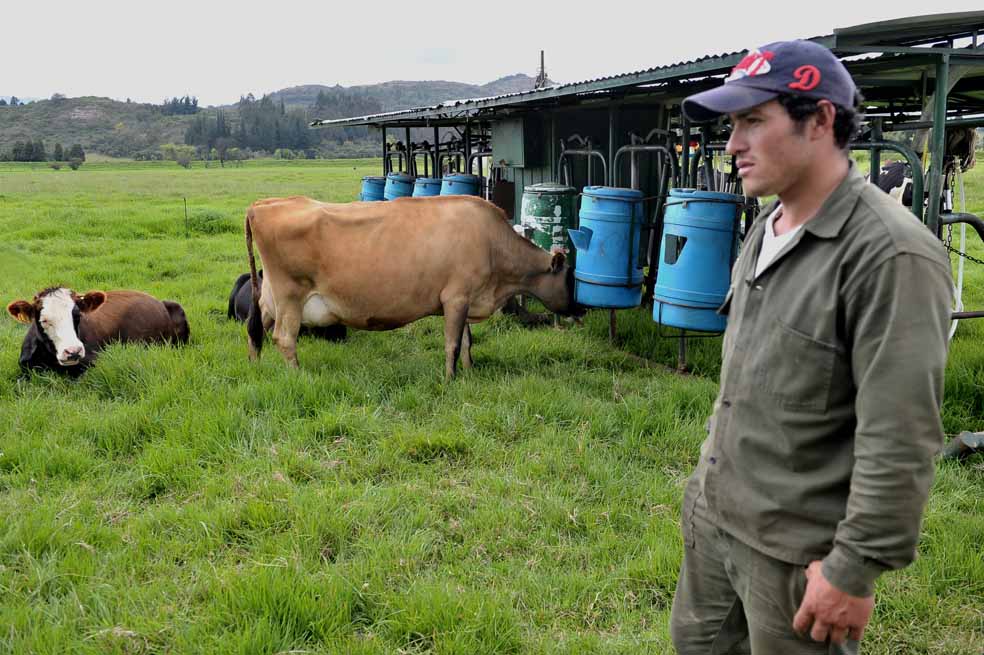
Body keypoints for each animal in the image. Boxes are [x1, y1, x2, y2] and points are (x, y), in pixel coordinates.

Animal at [244, 195, 583, 378]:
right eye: (572, 279)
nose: (581, 309)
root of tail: (263, 204)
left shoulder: (465, 298)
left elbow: (468, 342)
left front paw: (470, 372)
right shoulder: (456, 297)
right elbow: (453, 343)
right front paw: (450, 378)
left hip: (273, 295)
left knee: (257, 324)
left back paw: (255, 364)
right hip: (290, 294)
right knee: (284, 337)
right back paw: (298, 374)